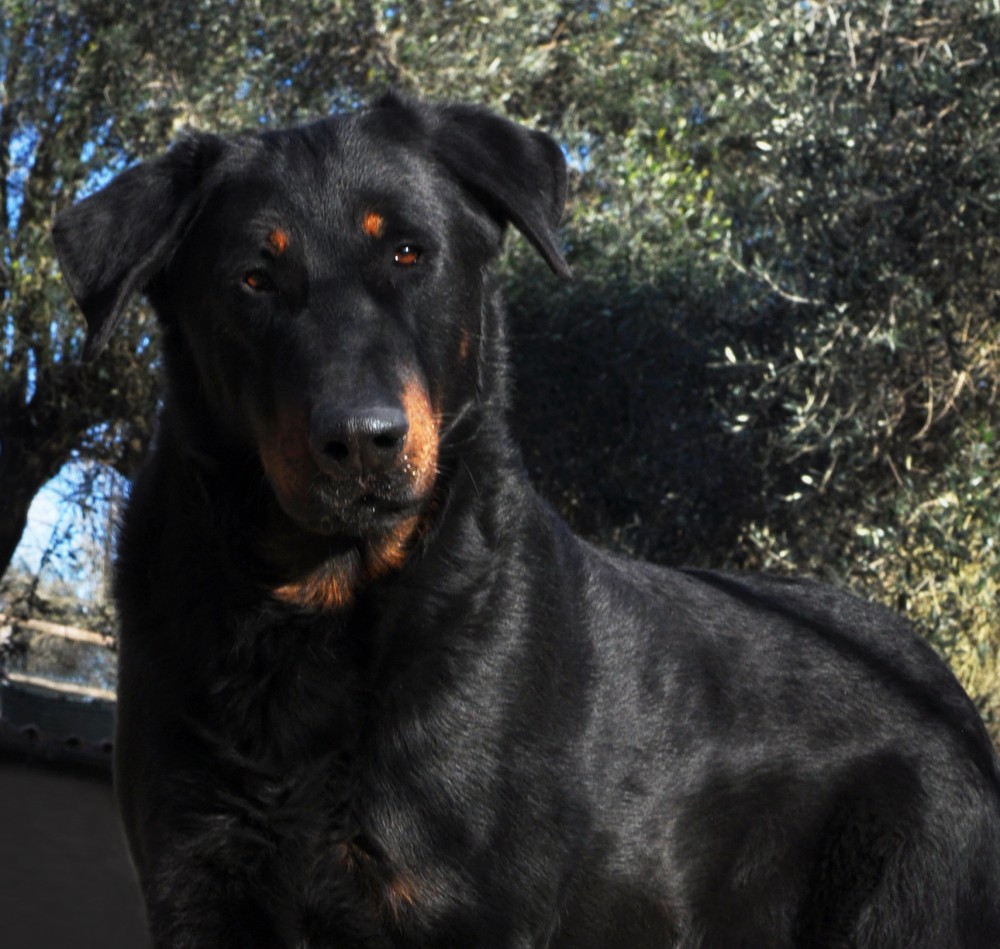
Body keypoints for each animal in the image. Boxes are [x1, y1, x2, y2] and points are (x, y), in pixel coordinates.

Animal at [53, 93, 1000, 948]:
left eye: (409, 251)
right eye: (253, 277)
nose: (361, 440)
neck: (326, 600)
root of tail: (945, 686)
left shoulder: (460, 909)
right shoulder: (198, 885)